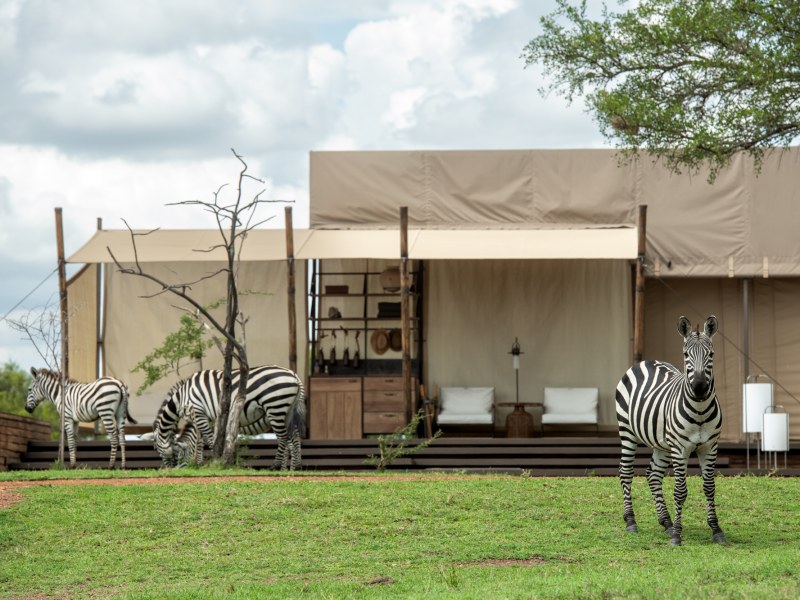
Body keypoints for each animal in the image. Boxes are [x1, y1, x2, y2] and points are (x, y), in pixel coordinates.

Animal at [152, 365, 306, 470]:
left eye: (159, 451)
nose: (168, 470)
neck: (182, 397)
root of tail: (294, 375)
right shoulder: (207, 417)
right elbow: (203, 440)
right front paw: (203, 463)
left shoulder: (199, 412)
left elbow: (208, 439)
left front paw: (216, 460)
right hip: (287, 411)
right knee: (294, 438)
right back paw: (293, 468)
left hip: (275, 407)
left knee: (284, 438)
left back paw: (276, 466)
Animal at [615, 315, 726, 546]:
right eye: (685, 354)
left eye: (711, 354)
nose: (700, 388)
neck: (700, 411)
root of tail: (644, 361)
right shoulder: (680, 448)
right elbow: (680, 491)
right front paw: (677, 534)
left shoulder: (710, 447)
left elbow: (709, 487)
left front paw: (716, 529)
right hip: (627, 432)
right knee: (626, 472)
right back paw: (631, 521)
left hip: (662, 443)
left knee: (653, 474)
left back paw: (665, 521)